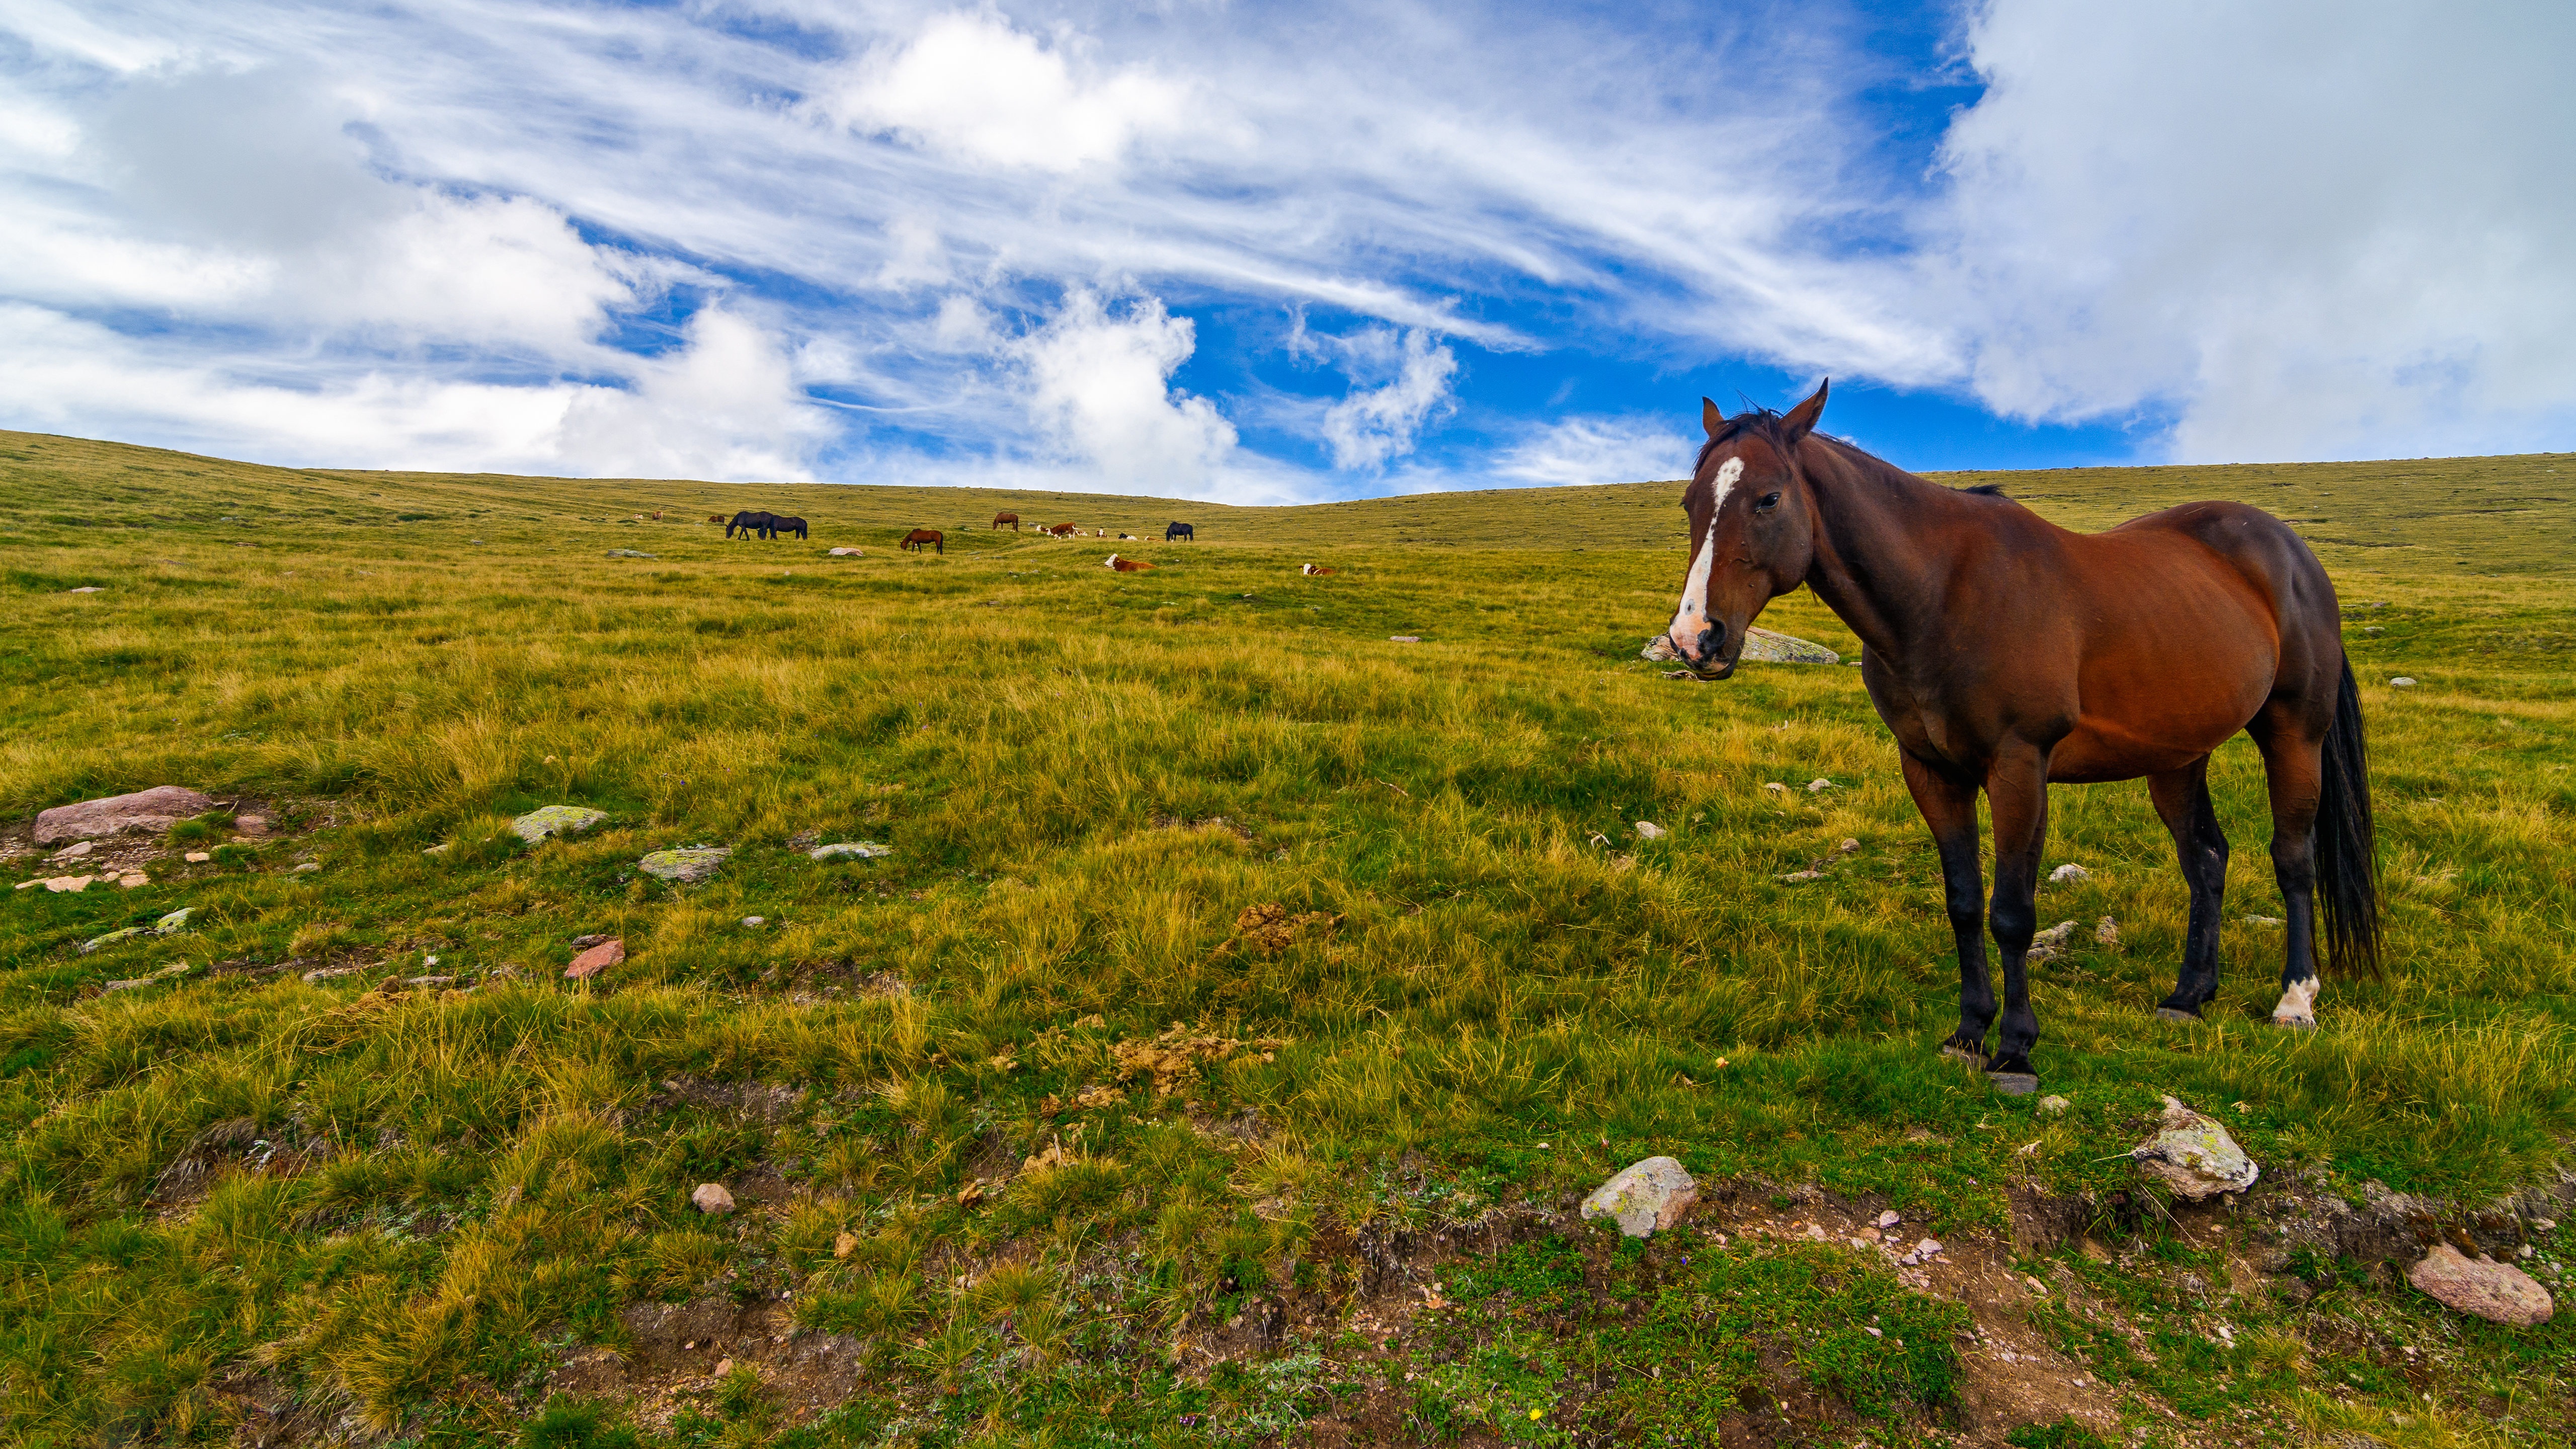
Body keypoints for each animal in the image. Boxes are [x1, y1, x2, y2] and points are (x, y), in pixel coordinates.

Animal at [1669, 379, 2370, 1088]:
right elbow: (1963, 901)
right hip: (2176, 757)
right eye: (1689, 502)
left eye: (1768, 498)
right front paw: (1967, 1032)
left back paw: (2294, 1000)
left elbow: (2011, 912)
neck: (1941, 597)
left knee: (2291, 858)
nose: (1694, 638)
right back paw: (2188, 996)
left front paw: (2014, 1049)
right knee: (2205, 858)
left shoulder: (2018, 768)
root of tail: (2289, 551)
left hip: (2293, 734)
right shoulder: (1930, 771)